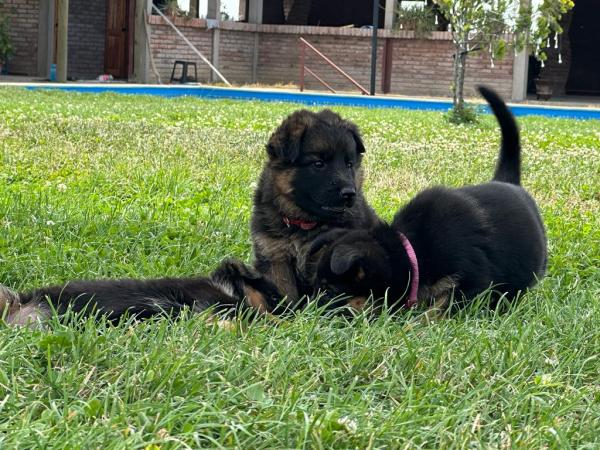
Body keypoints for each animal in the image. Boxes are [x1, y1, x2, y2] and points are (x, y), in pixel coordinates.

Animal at [251, 109, 378, 308]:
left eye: (349, 164)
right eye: (318, 164)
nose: (350, 193)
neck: (303, 222)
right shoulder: (275, 256)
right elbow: (284, 292)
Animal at [310, 86, 548, 314]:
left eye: (329, 291)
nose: (307, 310)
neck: (413, 250)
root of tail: (508, 181)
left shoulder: (471, 282)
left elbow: (436, 312)